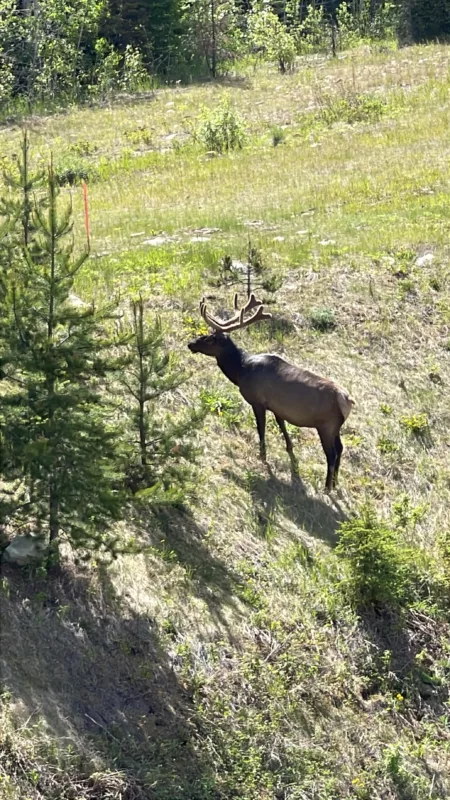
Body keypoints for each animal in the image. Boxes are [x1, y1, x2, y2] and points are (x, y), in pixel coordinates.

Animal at [187, 292, 356, 488]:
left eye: (210, 339)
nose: (191, 343)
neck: (240, 371)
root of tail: (347, 400)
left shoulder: (257, 401)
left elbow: (261, 428)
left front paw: (262, 455)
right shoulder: (277, 407)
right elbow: (282, 425)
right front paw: (289, 448)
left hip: (326, 425)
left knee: (332, 454)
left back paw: (327, 486)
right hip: (336, 426)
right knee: (341, 448)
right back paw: (335, 482)